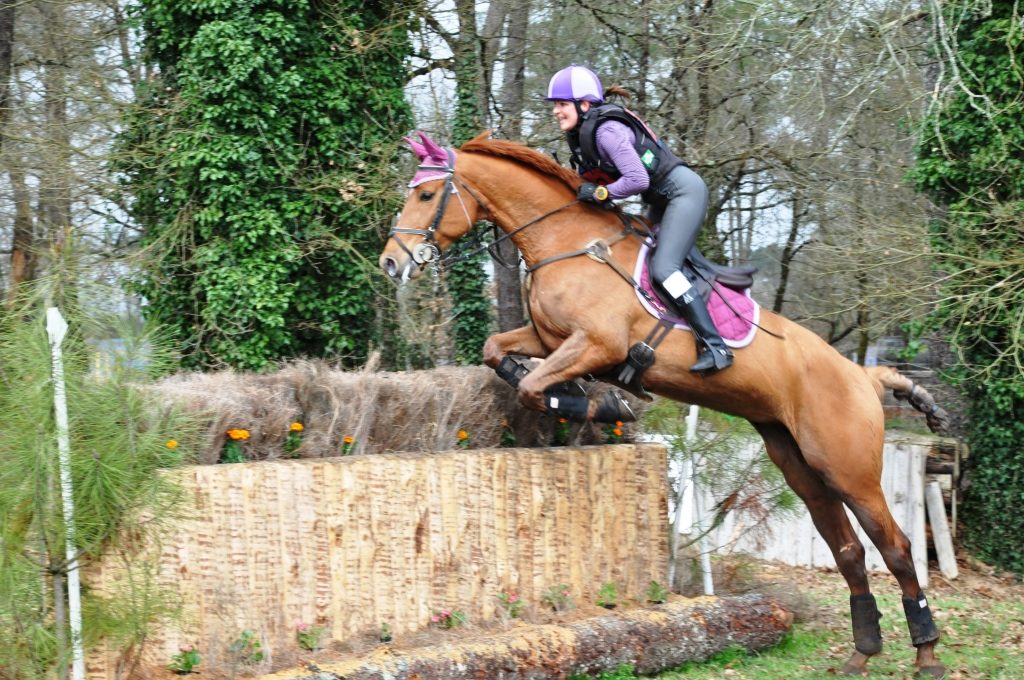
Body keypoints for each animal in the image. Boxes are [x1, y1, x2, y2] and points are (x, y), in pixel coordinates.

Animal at [382, 130, 950, 675]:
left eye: (426, 195)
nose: (392, 262)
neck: (566, 241)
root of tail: (861, 375)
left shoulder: (596, 345)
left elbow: (534, 386)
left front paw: (606, 406)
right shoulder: (549, 340)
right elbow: (497, 353)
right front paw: (581, 397)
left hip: (849, 470)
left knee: (895, 547)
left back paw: (926, 653)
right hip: (802, 468)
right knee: (849, 551)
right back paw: (862, 653)